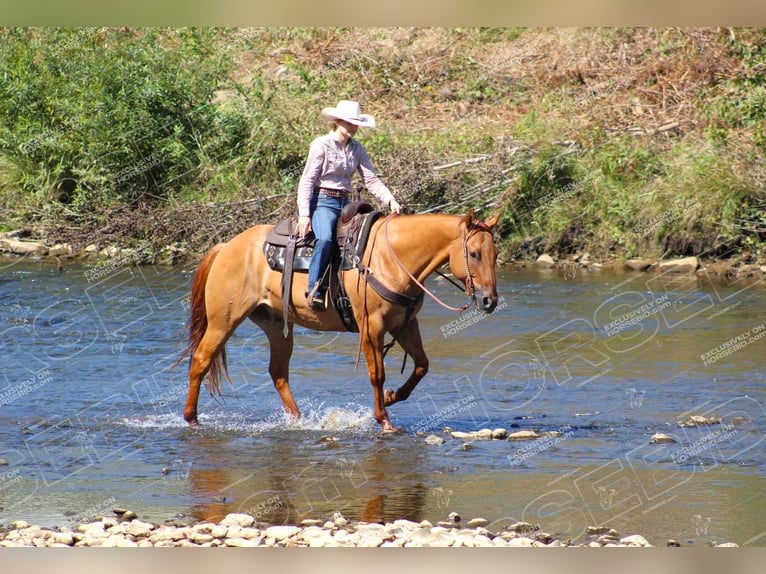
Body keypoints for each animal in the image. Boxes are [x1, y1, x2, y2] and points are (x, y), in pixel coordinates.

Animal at [181, 209, 504, 434]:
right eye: (474, 253)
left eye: (495, 253)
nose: (490, 301)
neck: (391, 259)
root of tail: (225, 246)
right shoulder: (371, 327)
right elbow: (377, 374)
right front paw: (384, 421)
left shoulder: (405, 324)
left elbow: (422, 366)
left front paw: (391, 397)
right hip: (224, 320)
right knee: (201, 359)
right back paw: (191, 419)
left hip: (275, 324)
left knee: (278, 373)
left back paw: (299, 419)